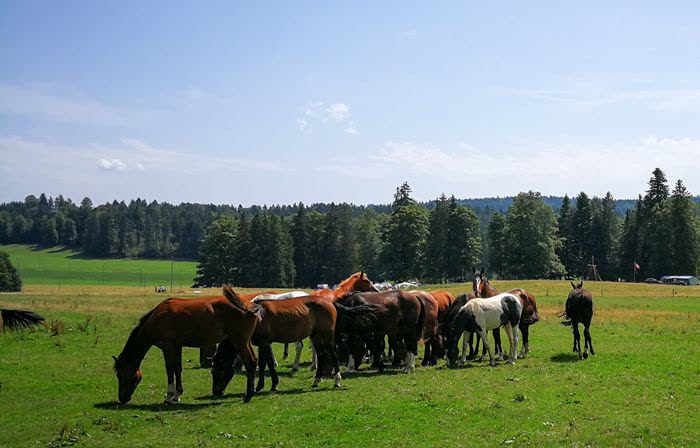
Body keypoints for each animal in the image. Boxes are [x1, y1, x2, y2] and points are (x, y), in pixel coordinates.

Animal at [113, 286, 261, 404]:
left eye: (120, 375)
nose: (122, 398)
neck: (156, 318)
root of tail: (246, 305)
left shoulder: (167, 347)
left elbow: (169, 369)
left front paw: (169, 396)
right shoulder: (176, 346)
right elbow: (177, 368)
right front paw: (177, 394)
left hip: (239, 342)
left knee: (250, 363)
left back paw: (248, 396)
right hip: (244, 342)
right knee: (254, 361)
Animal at [211, 293, 343, 396]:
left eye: (217, 371)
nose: (215, 392)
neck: (256, 317)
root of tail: (329, 303)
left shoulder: (263, 342)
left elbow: (263, 363)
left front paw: (260, 386)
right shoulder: (264, 343)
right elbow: (269, 362)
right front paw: (274, 384)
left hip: (326, 335)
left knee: (334, 355)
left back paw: (337, 381)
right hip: (315, 336)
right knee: (321, 355)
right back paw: (316, 381)